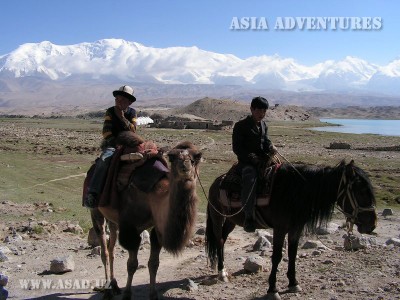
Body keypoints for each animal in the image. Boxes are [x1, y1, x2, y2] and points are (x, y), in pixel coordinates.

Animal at [85, 134, 203, 300]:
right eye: (172, 157)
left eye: (196, 157)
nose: (185, 166)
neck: (154, 196)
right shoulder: (130, 227)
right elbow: (132, 264)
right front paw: (128, 294)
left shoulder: (156, 228)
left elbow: (154, 263)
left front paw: (153, 294)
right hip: (95, 212)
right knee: (104, 251)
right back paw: (107, 291)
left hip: (113, 219)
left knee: (111, 247)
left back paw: (115, 286)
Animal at [206, 162, 378, 300]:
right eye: (361, 191)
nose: (372, 225)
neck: (294, 192)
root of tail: (217, 182)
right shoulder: (280, 229)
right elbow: (276, 257)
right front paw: (272, 289)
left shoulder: (296, 229)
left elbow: (293, 254)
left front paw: (293, 283)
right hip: (217, 217)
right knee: (219, 239)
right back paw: (221, 272)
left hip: (231, 220)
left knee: (223, 239)